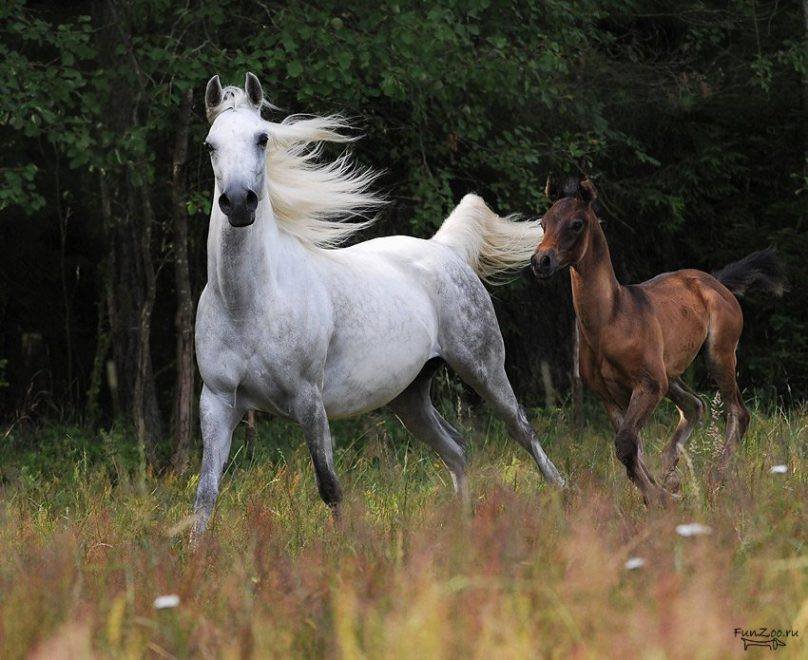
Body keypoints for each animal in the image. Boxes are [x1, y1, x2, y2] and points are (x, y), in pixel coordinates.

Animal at [191, 72, 564, 538]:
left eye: (262, 138)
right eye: (210, 144)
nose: (239, 202)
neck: (248, 304)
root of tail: (445, 250)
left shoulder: (308, 400)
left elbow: (329, 488)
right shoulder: (218, 403)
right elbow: (205, 498)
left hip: (484, 368)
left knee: (523, 431)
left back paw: (565, 499)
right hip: (410, 396)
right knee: (457, 449)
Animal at [531, 176, 784, 506]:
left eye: (576, 224)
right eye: (543, 223)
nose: (541, 261)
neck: (610, 320)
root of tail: (716, 282)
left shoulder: (649, 384)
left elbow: (626, 444)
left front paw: (660, 497)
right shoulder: (608, 394)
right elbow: (631, 446)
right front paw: (661, 491)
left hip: (718, 355)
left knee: (738, 412)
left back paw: (715, 479)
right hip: (671, 374)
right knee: (695, 405)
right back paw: (672, 473)